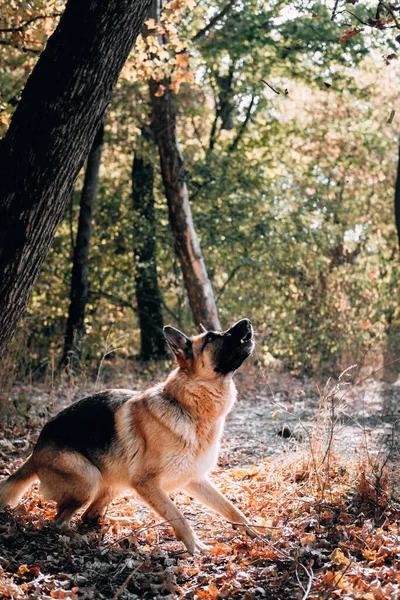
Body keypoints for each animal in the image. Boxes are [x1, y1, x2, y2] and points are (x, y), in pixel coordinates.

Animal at [0, 318, 255, 552]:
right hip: (90, 478)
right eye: (211, 338)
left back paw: (119, 522)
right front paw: (194, 546)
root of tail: (35, 450)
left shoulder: (195, 479)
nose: (246, 322)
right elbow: (178, 515)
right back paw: (78, 537)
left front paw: (255, 533)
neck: (187, 407)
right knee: (58, 523)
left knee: (88, 516)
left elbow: (232, 508)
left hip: (115, 481)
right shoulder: (146, 482)